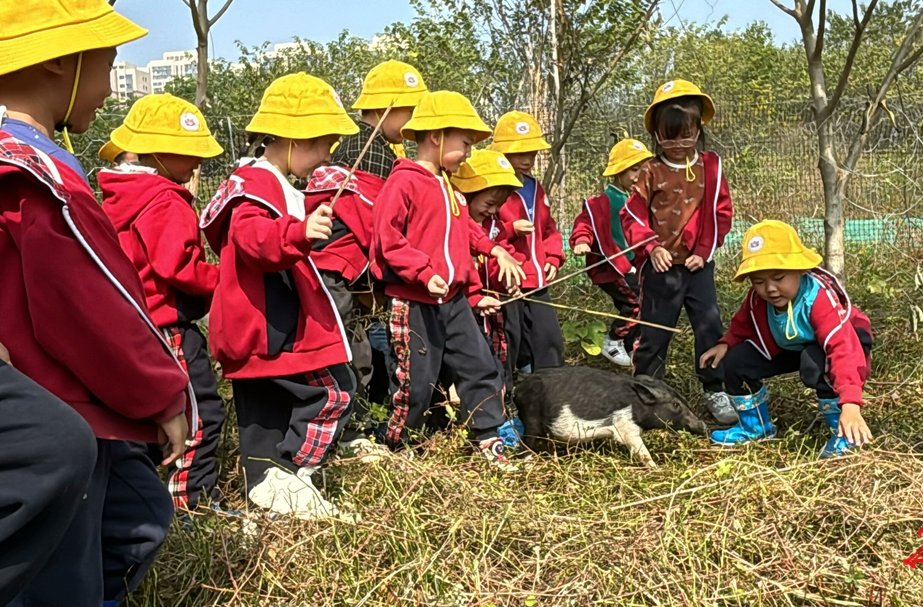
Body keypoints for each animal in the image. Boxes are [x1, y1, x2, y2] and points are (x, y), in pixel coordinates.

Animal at [520, 368, 708, 468]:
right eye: (675, 404)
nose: (705, 426)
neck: (636, 406)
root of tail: (518, 390)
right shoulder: (626, 426)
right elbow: (642, 450)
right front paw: (657, 468)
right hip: (531, 418)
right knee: (526, 442)